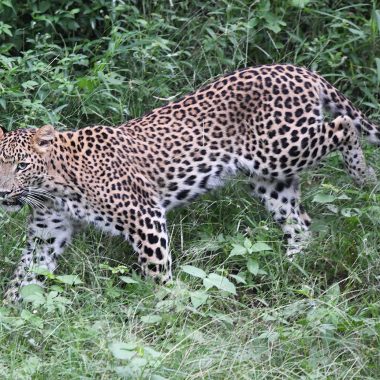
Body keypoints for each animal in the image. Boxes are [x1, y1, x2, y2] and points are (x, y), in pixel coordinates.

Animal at [0, 63, 378, 302]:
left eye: (21, 165)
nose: (3, 192)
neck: (52, 188)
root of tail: (297, 69)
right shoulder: (48, 234)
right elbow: (24, 276)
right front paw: (11, 316)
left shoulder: (144, 215)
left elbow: (156, 270)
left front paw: (170, 305)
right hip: (269, 178)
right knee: (300, 224)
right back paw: (291, 266)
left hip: (281, 148)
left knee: (345, 125)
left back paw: (364, 178)